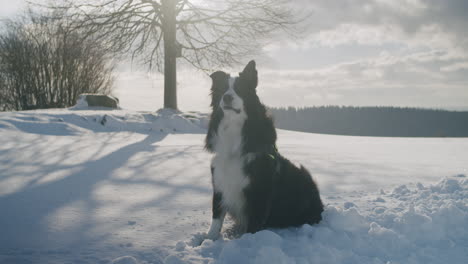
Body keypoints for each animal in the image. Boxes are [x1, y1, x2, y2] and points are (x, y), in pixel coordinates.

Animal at [205, 60, 326, 240]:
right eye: (222, 89)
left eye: (240, 89)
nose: (227, 97)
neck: (234, 129)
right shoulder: (220, 181)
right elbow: (216, 218)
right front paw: (207, 240)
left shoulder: (259, 190)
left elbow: (253, 224)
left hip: (305, 182)